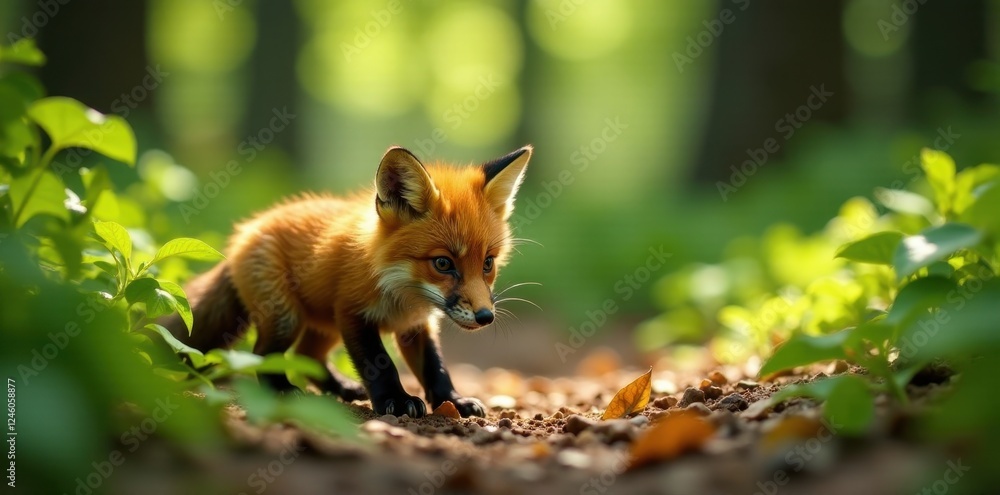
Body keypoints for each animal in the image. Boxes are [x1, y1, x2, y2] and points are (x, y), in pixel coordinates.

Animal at [164, 145, 532, 418]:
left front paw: (453, 401)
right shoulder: (353, 313)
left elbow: (435, 367)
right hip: (287, 318)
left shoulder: (416, 325)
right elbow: (379, 364)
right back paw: (283, 390)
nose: (486, 317)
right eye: (443, 263)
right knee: (262, 355)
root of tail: (241, 237)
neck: (402, 294)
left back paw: (341, 388)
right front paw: (396, 401)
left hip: (322, 325)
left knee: (308, 355)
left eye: (487, 263)